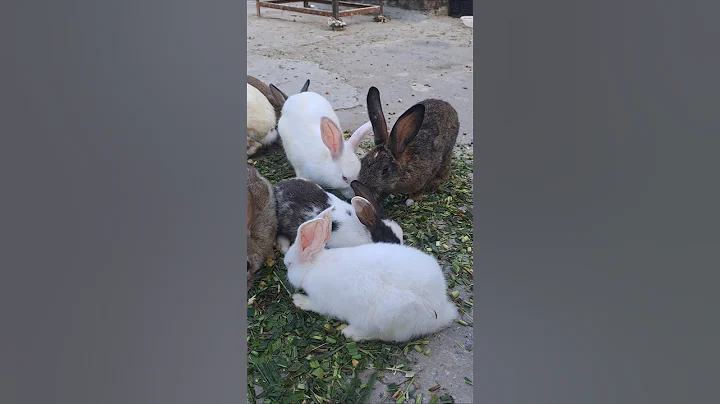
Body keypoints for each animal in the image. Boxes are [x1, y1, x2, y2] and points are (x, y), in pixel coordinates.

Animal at [284, 207, 458, 343]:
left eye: (290, 264)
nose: (286, 264)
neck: (313, 266)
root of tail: (440, 311)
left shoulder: (321, 301)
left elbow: (315, 306)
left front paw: (299, 301)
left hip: (387, 316)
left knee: (385, 335)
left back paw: (351, 333)